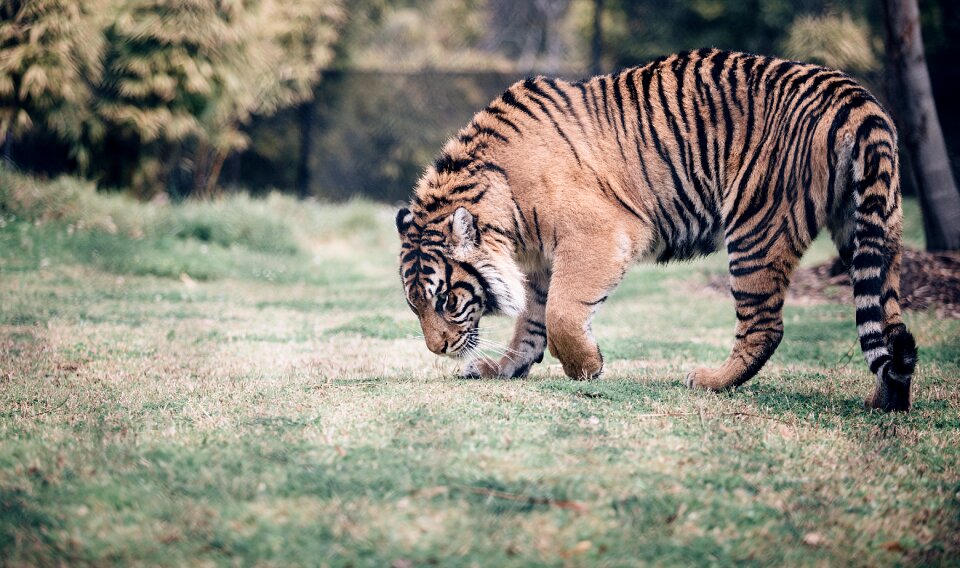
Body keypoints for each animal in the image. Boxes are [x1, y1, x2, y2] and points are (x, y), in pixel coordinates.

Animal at [394, 48, 920, 410]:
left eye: (447, 300)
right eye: (414, 305)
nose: (438, 349)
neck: (504, 207)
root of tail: (854, 97)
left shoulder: (598, 235)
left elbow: (560, 313)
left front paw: (587, 367)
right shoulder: (540, 260)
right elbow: (531, 321)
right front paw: (502, 368)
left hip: (756, 227)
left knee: (765, 325)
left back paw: (710, 381)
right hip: (871, 228)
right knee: (887, 320)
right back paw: (885, 399)